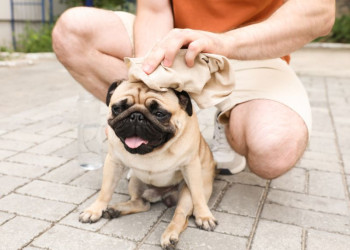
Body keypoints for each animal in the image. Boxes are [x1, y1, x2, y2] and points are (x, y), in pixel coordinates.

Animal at [79, 80, 216, 248]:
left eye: (159, 114)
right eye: (117, 108)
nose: (136, 116)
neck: (151, 152)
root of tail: (164, 196)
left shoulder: (190, 167)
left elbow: (197, 195)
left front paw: (204, 215)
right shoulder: (114, 162)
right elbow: (105, 191)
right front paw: (94, 210)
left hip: (186, 193)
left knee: (180, 215)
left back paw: (170, 235)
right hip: (136, 182)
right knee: (142, 203)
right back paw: (116, 209)